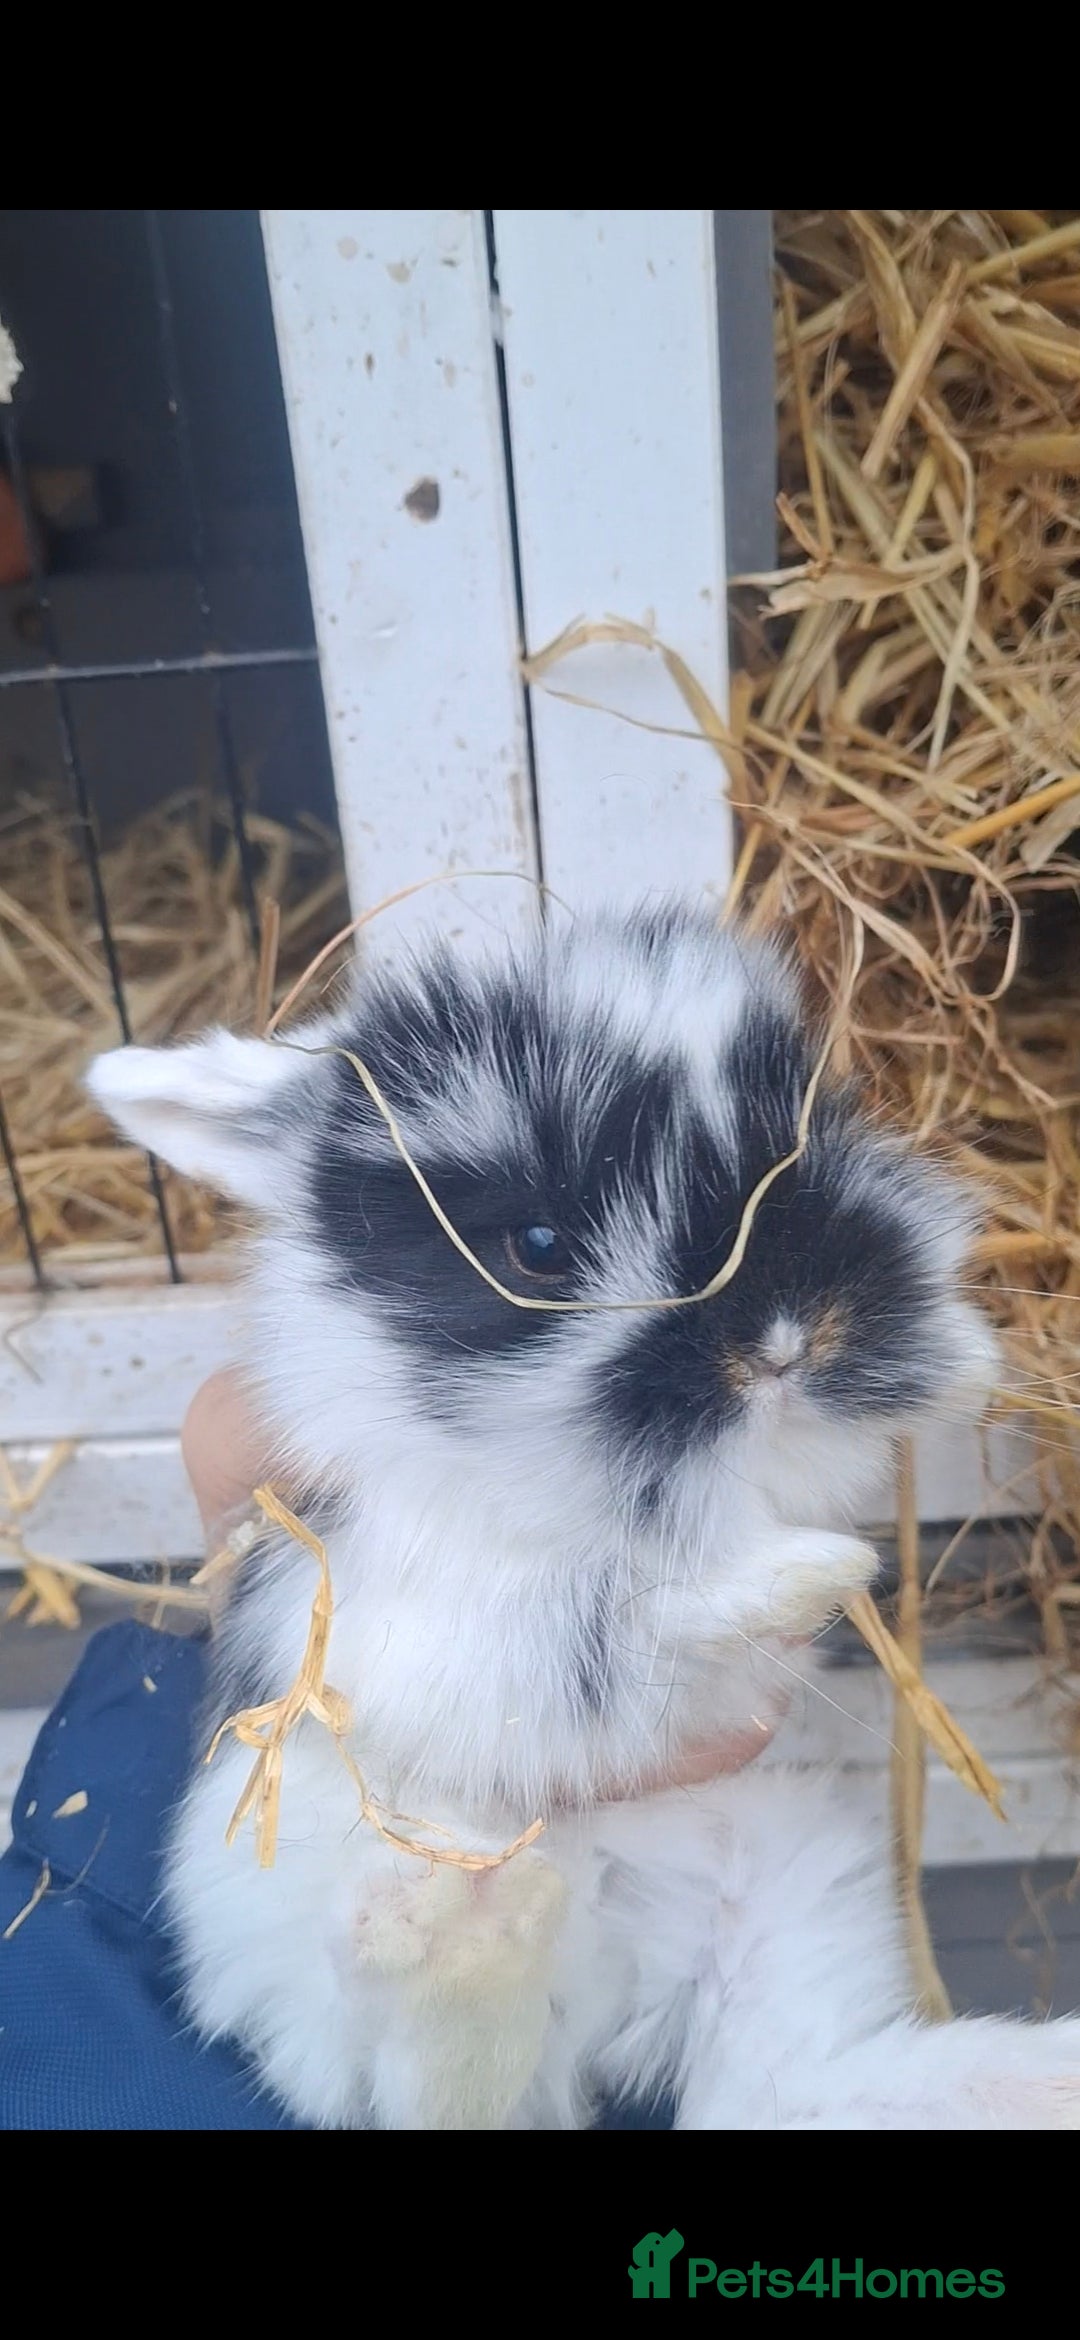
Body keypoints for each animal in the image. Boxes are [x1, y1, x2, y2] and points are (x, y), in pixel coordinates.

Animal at [87, 901, 1080, 2131]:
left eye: (811, 1138)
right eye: (540, 1247)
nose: (789, 1340)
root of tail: (604, 2002)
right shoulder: (407, 1620)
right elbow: (614, 1614)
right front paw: (811, 1573)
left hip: (785, 1894)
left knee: (784, 2090)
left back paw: (1037, 2073)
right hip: (276, 1900)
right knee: (431, 2085)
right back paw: (462, 1928)